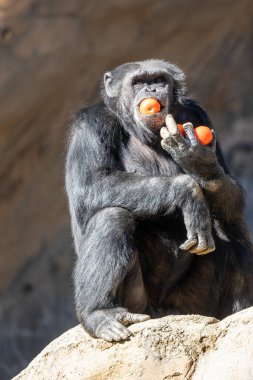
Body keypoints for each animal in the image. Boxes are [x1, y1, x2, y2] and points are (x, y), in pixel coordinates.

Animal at [65, 58, 253, 342]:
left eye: (159, 80)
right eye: (138, 82)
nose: (152, 90)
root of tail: (163, 312)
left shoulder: (198, 114)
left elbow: (232, 191)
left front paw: (200, 161)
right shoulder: (91, 125)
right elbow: (93, 184)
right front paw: (188, 191)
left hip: (192, 305)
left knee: (229, 223)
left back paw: (237, 313)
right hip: (138, 305)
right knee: (112, 217)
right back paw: (99, 314)